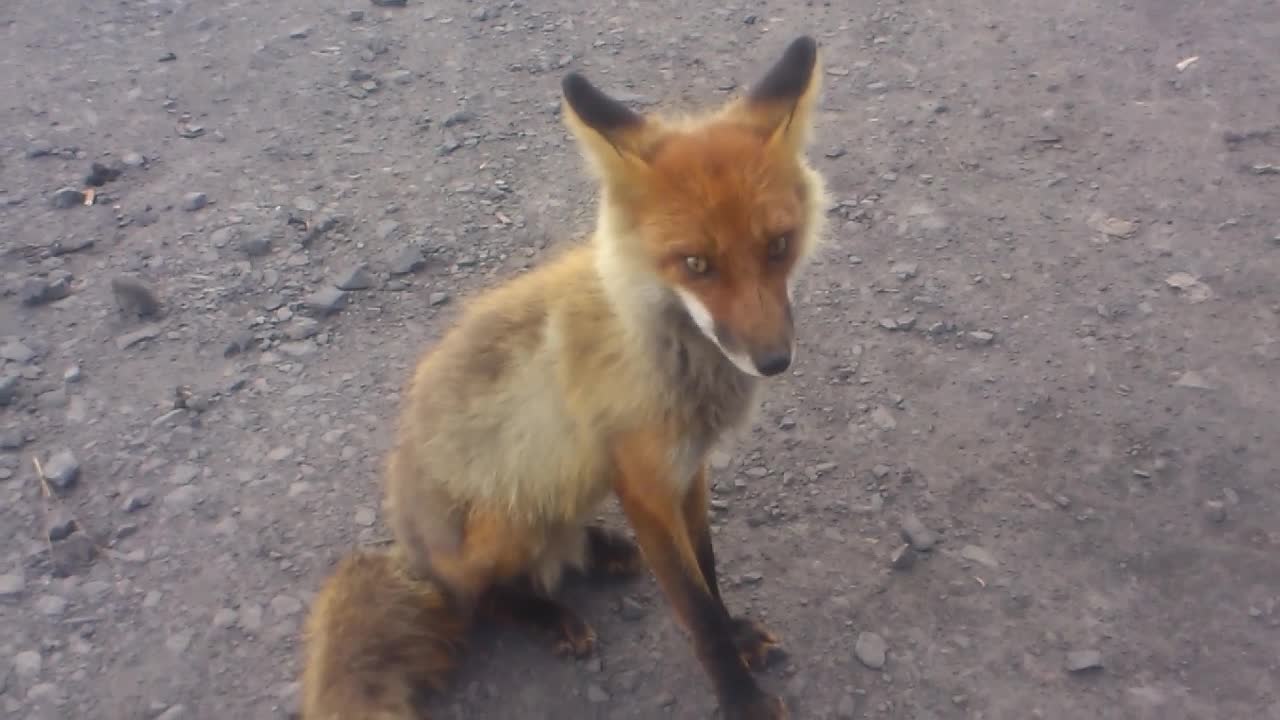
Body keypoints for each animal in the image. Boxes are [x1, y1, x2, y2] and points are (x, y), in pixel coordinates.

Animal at [299, 35, 829, 720]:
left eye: (778, 246)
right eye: (695, 264)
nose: (773, 360)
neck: (663, 347)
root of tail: (414, 554)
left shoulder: (689, 473)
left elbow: (709, 575)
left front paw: (738, 637)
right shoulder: (643, 485)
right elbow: (695, 610)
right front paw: (740, 698)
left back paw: (597, 550)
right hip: (506, 517)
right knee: (481, 597)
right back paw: (545, 612)